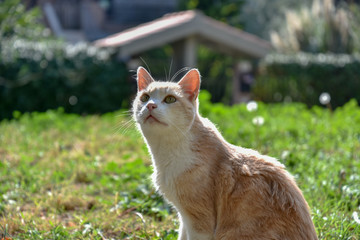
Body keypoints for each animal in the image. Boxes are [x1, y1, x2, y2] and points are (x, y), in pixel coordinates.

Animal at [132, 66, 318, 240]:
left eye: (170, 99)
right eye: (145, 97)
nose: (150, 105)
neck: (165, 151)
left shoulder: (200, 221)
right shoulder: (184, 217)